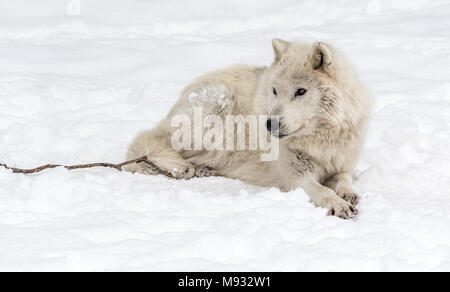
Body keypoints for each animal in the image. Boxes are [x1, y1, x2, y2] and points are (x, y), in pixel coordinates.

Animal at [126, 40, 372, 219]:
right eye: (274, 90)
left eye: (301, 91)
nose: (270, 124)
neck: (320, 139)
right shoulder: (296, 178)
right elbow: (323, 191)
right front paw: (338, 205)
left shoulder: (342, 166)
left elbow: (343, 181)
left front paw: (348, 194)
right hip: (214, 113)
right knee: (145, 140)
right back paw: (179, 167)